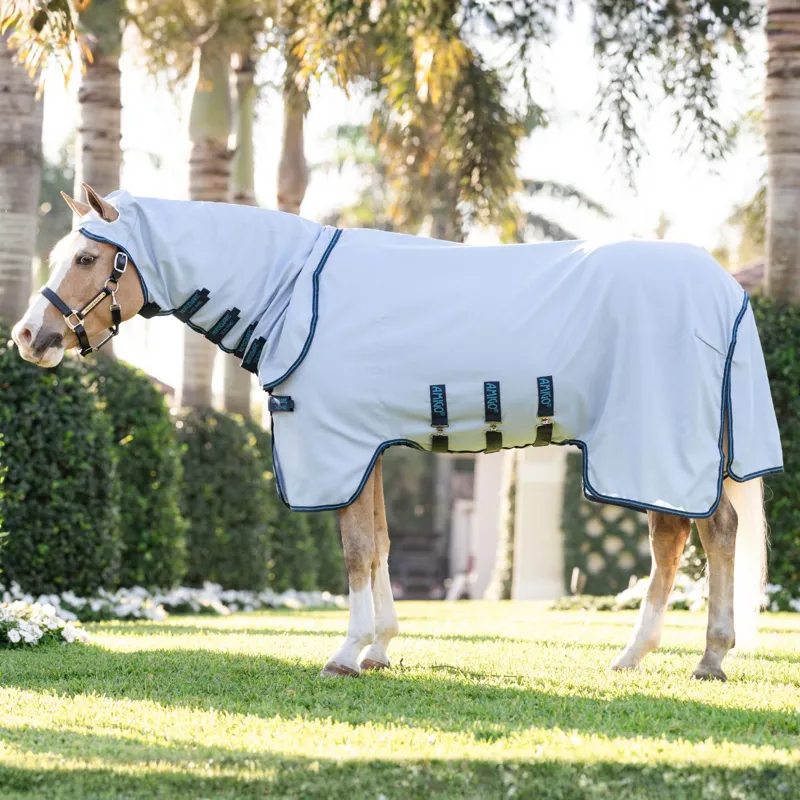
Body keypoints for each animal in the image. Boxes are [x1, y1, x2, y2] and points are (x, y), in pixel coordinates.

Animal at [12, 184, 782, 682]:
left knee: (695, 536)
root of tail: (725, 289)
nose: (28, 337)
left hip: (652, 443)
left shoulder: (339, 447)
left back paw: (699, 657)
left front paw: (345, 655)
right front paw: (380, 648)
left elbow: (355, 552)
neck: (296, 291)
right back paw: (655, 657)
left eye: (86, 258)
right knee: (689, 539)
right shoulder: (369, 449)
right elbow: (379, 544)